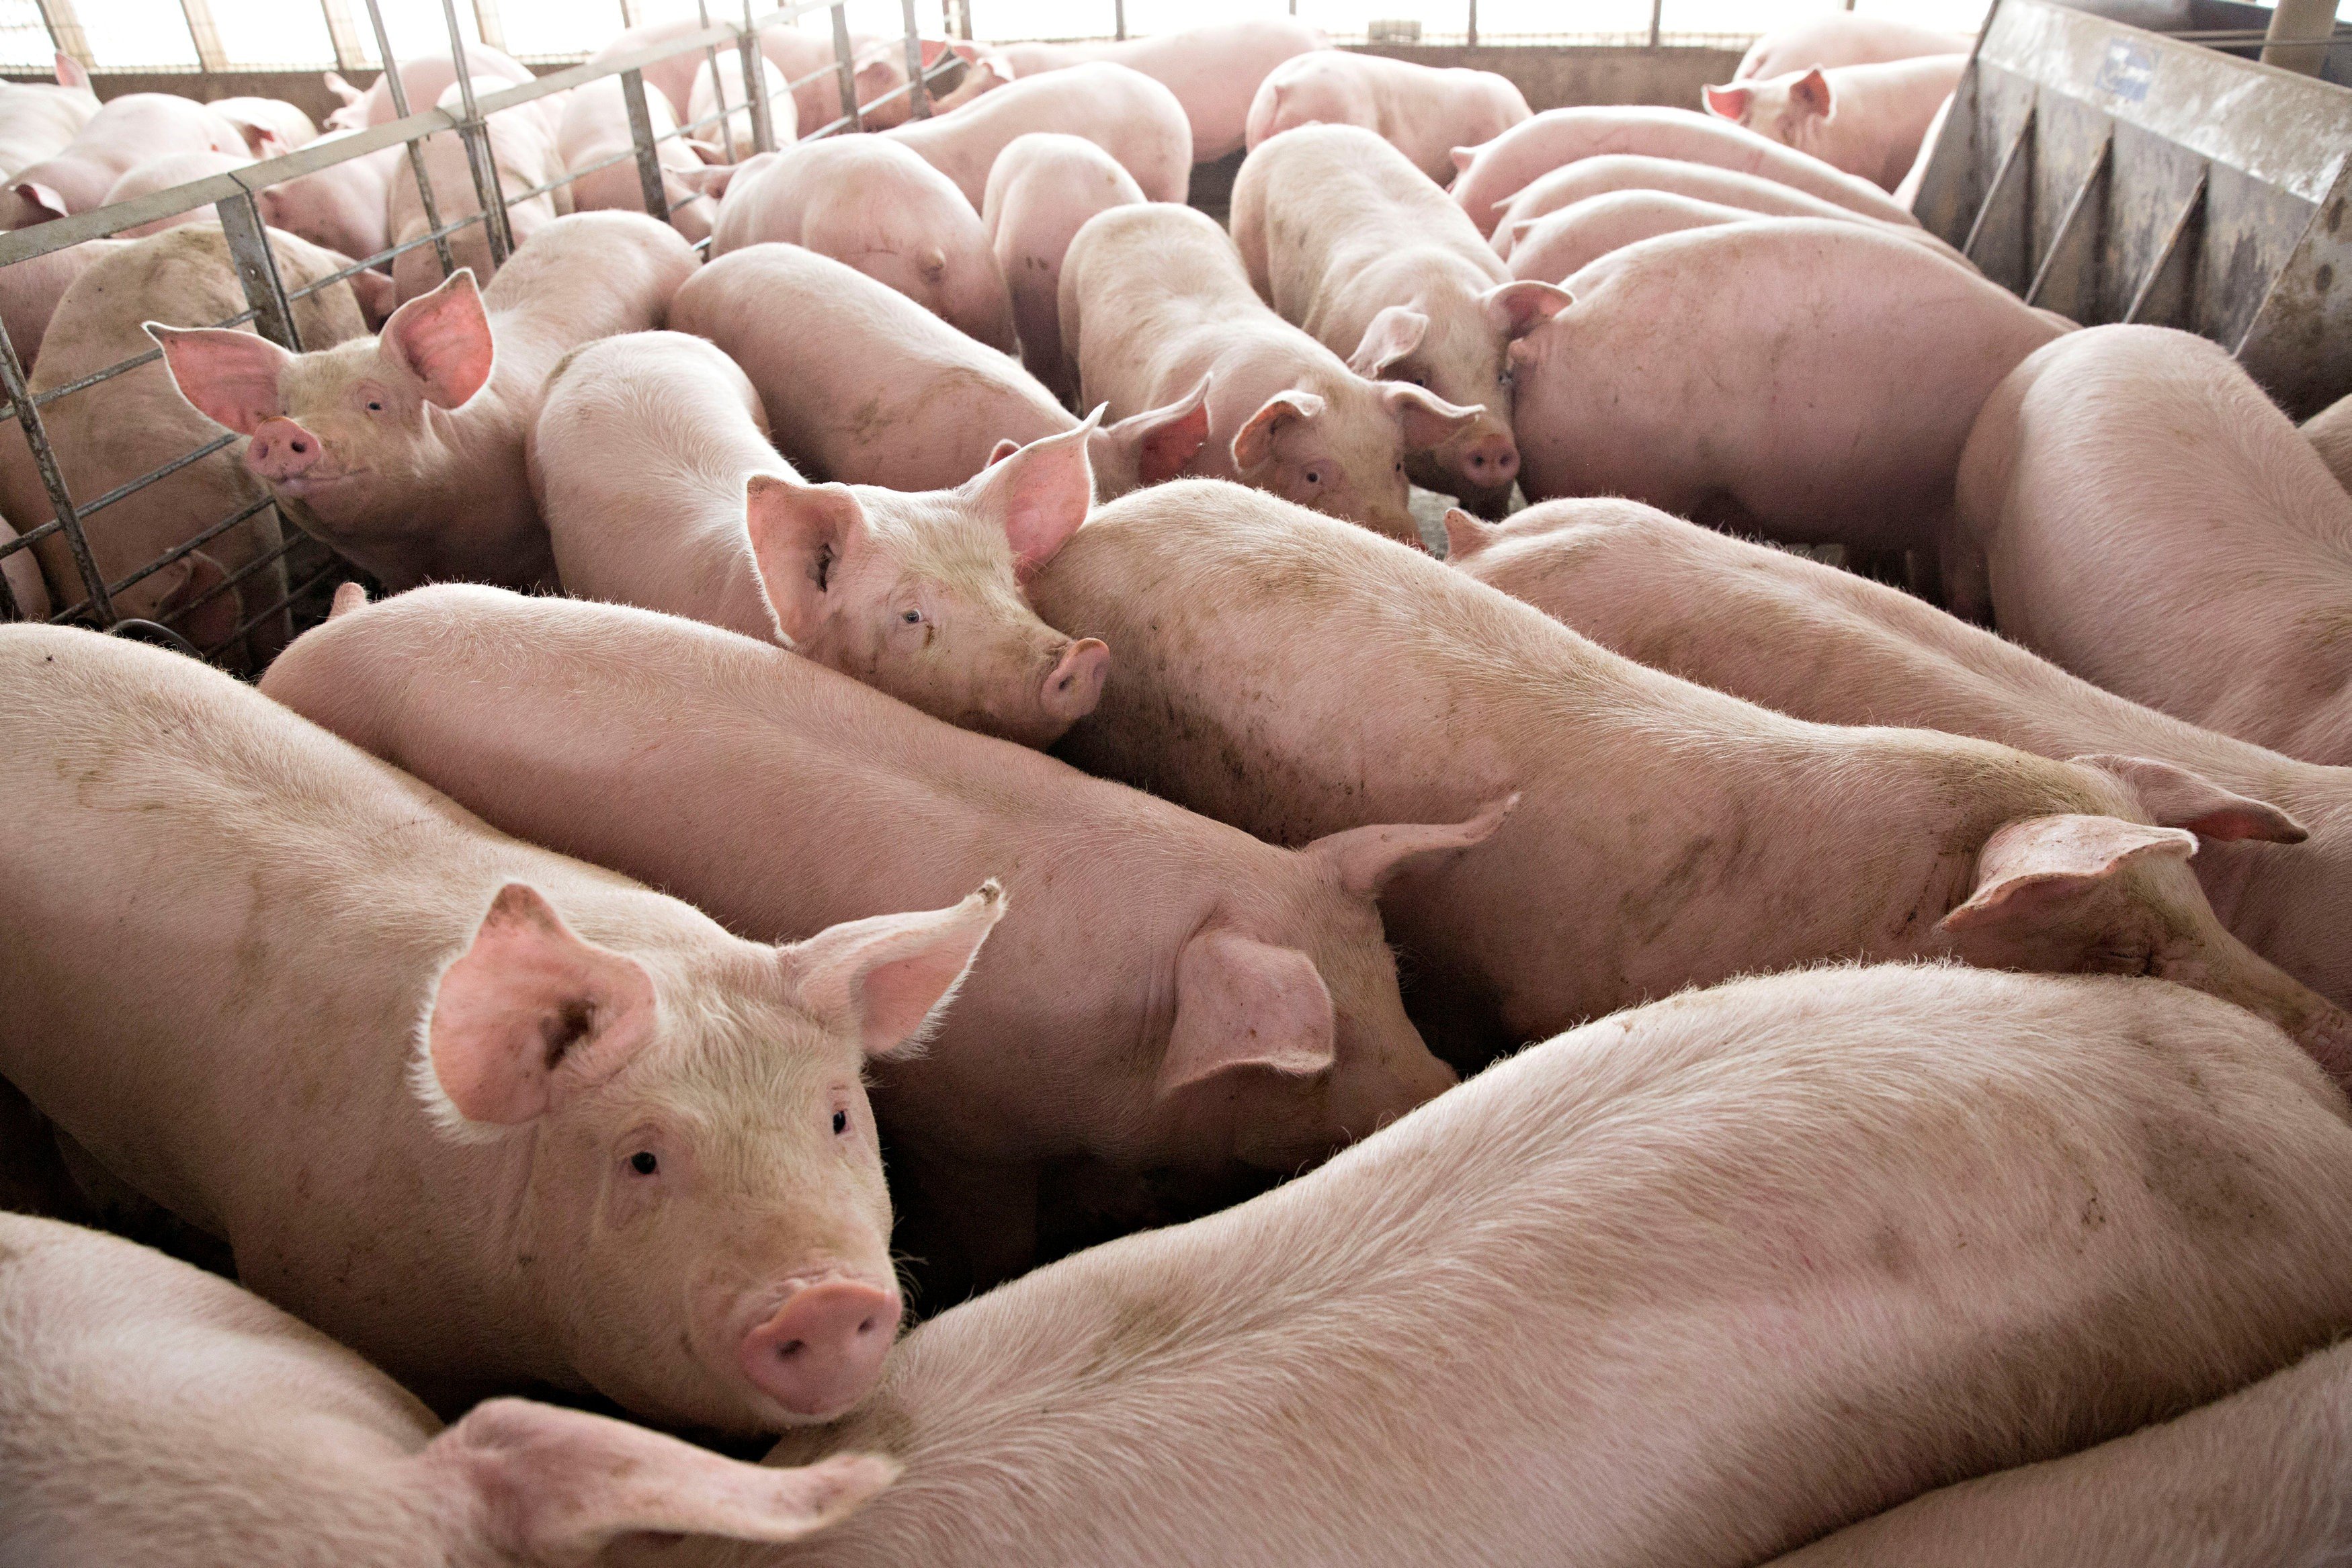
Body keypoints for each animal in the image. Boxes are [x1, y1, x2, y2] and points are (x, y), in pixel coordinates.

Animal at [265, 585, 1483, 1288]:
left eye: (1390, 979)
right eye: (1304, 1055)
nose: (1446, 1082)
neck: (1126, 1026)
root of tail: (312, 629)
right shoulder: (966, 1128)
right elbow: (998, 1237)